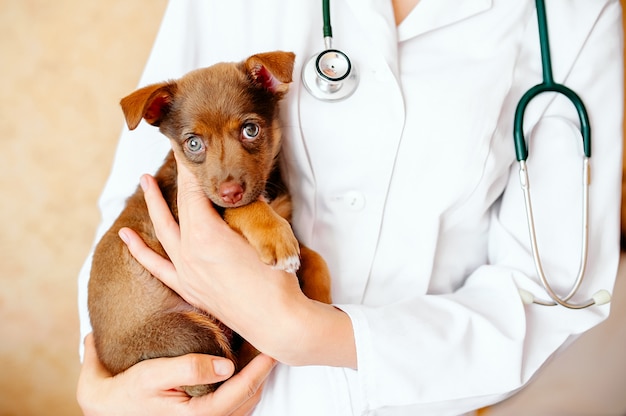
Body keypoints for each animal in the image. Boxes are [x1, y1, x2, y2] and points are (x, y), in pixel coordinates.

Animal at [89, 51, 332, 396]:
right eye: (193, 144)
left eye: (250, 130)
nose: (230, 192)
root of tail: (113, 368)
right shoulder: (194, 211)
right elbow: (248, 210)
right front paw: (275, 238)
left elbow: (315, 257)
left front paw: (322, 297)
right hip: (190, 333)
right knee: (234, 367)